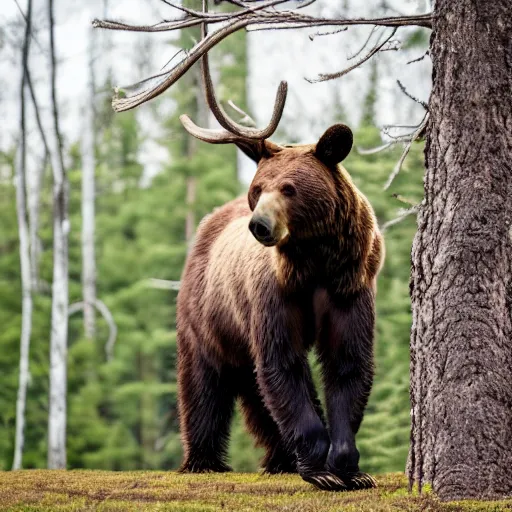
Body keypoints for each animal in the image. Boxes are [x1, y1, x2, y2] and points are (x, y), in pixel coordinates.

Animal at [176, 124, 384, 492]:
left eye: (289, 188)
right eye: (257, 189)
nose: (259, 225)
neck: (314, 261)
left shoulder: (349, 287)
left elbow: (347, 363)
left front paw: (350, 468)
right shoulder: (275, 295)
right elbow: (283, 364)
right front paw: (321, 470)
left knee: (255, 390)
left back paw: (280, 459)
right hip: (209, 315)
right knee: (204, 382)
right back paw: (203, 460)